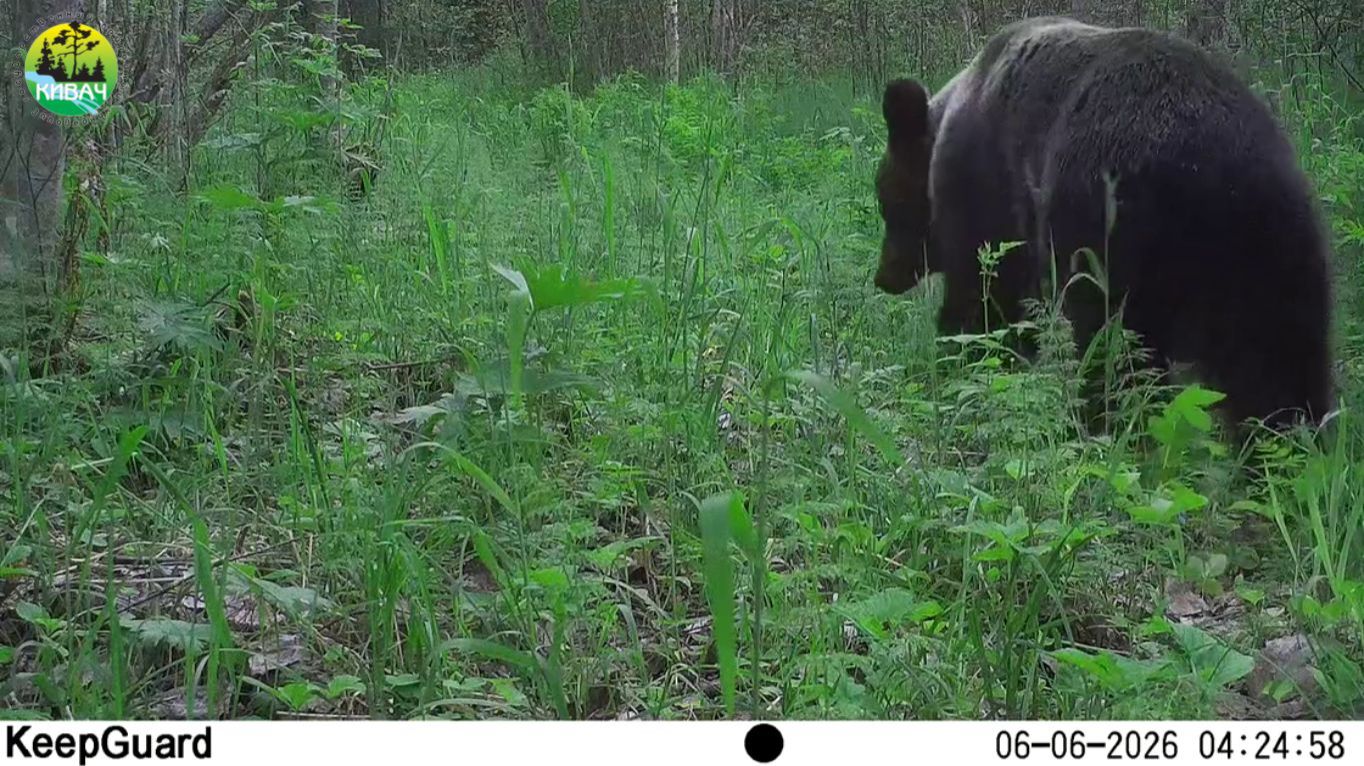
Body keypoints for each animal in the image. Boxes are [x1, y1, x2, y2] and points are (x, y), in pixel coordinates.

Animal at [873, 16, 1335, 431]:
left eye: (886, 203)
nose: (884, 276)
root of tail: (1216, 175)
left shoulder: (987, 195)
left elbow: (984, 303)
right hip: (1277, 250)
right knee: (1280, 372)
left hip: (1109, 235)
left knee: (1109, 349)